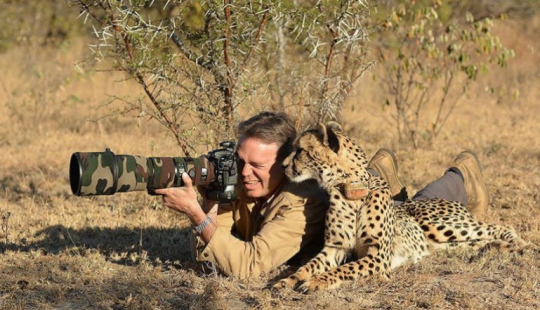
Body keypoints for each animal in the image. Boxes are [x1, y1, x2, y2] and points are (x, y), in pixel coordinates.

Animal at [276, 121, 528, 294]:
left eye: (300, 150)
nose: (283, 166)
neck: (351, 191)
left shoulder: (378, 256)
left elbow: (341, 270)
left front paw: (316, 281)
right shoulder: (334, 249)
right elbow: (307, 266)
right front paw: (286, 280)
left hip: (439, 225)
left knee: (498, 227)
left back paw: (519, 244)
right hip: (445, 244)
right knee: (479, 241)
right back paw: (499, 247)